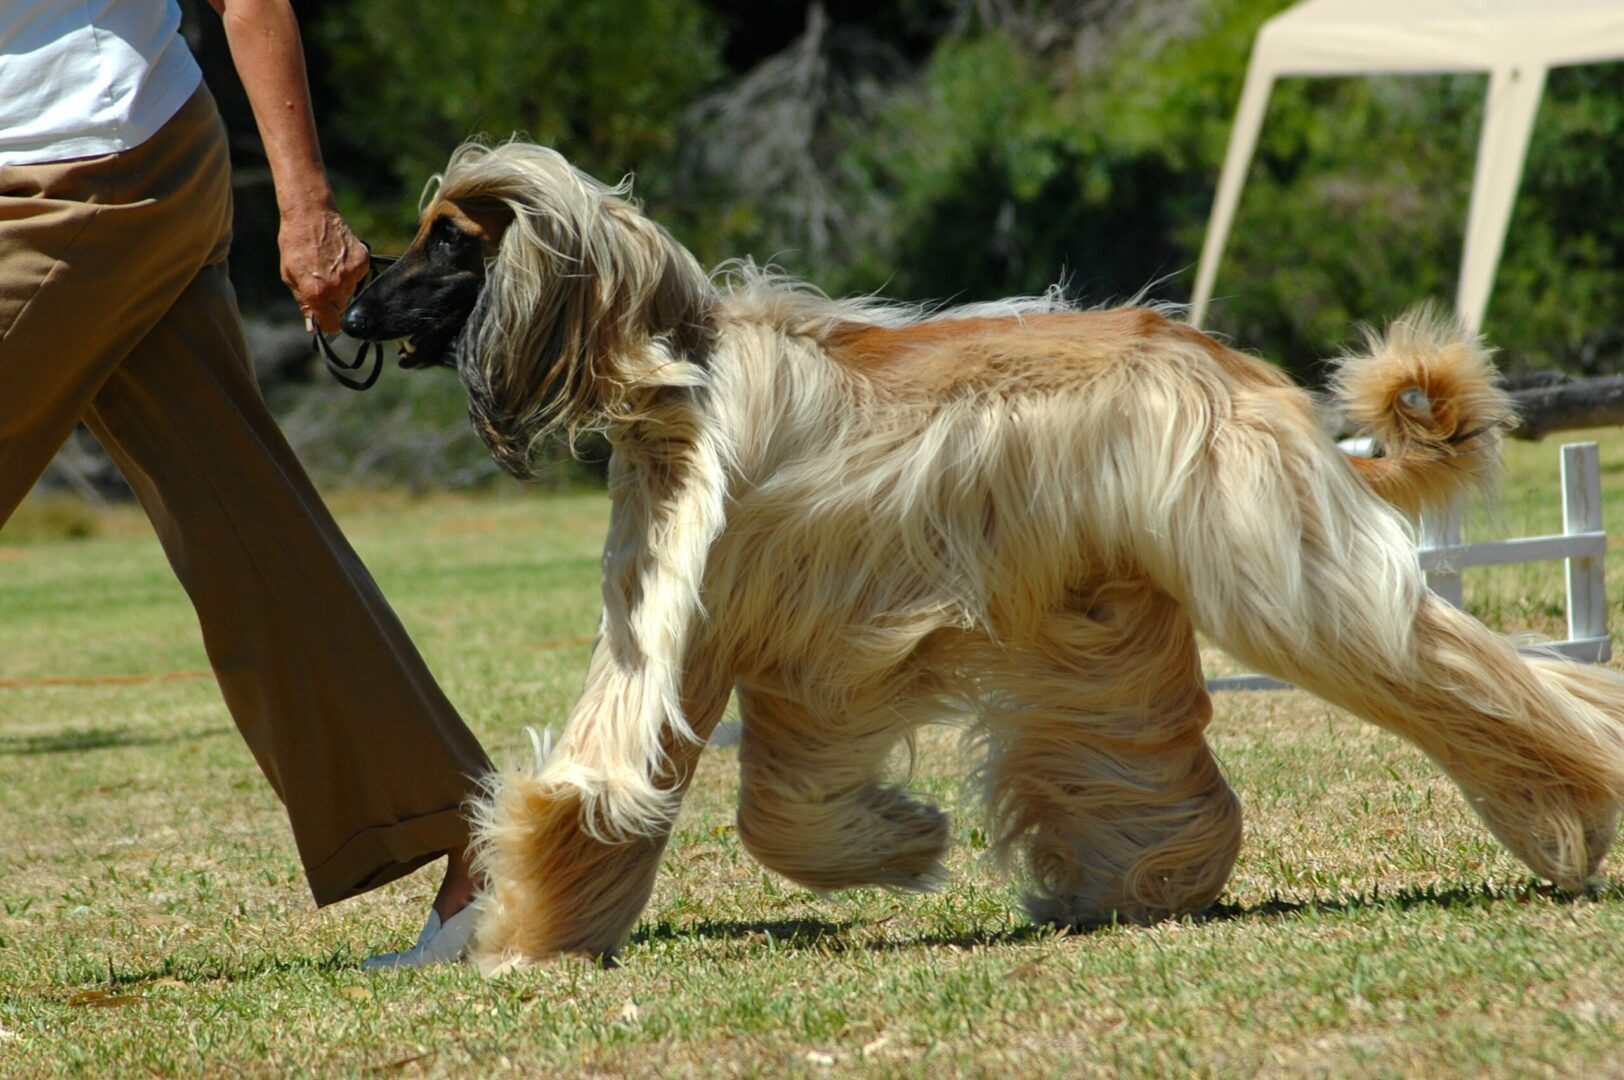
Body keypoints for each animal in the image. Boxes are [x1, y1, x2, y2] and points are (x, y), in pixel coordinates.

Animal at [339, 138, 1624, 974]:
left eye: (447, 244)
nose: (347, 311)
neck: (673, 370)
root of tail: (1228, 361)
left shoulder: (744, 613)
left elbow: (673, 788)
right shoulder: (748, 629)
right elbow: (731, 792)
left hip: (1271, 559)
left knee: (1444, 661)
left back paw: (1569, 812)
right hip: (1098, 605)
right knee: (1135, 744)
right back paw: (1138, 882)